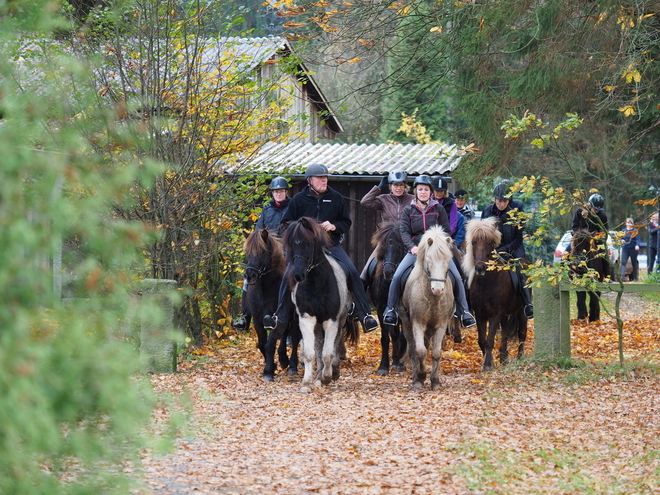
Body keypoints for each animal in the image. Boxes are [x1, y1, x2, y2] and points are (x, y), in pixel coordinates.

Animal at [245, 227, 302, 382]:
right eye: (247, 252)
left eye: (262, 252)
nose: (249, 276)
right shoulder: (258, 319)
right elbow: (262, 344)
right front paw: (273, 365)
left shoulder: (272, 316)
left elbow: (270, 343)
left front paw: (268, 371)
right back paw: (283, 359)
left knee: (294, 338)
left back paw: (292, 365)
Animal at [282, 217, 358, 396]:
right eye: (291, 245)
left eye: (308, 244)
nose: (298, 275)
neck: (316, 283)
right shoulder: (306, 319)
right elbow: (310, 353)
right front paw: (307, 383)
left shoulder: (331, 320)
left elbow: (328, 352)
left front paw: (327, 377)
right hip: (317, 324)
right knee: (318, 345)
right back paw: (317, 376)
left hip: (341, 319)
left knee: (336, 342)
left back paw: (332, 372)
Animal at [366, 223, 408, 374]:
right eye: (382, 247)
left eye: (400, 247)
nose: (388, 272)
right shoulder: (381, 309)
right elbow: (386, 337)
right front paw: (384, 365)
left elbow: (400, 335)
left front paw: (398, 362)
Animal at [400, 226, 456, 392]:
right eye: (429, 260)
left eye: (447, 261)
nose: (437, 289)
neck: (432, 298)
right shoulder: (417, 323)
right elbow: (420, 351)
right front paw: (420, 376)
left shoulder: (441, 324)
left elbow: (436, 353)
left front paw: (435, 381)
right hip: (406, 322)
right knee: (413, 350)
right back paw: (416, 378)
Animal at [462, 218, 528, 372]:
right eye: (473, 242)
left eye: (490, 243)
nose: (480, 268)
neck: (486, 284)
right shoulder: (480, 314)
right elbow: (482, 340)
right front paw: (490, 360)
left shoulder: (495, 314)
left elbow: (490, 339)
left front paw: (487, 364)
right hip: (505, 315)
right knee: (505, 333)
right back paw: (503, 357)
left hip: (521, 311)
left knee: (522, 333)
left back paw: (520, 357)